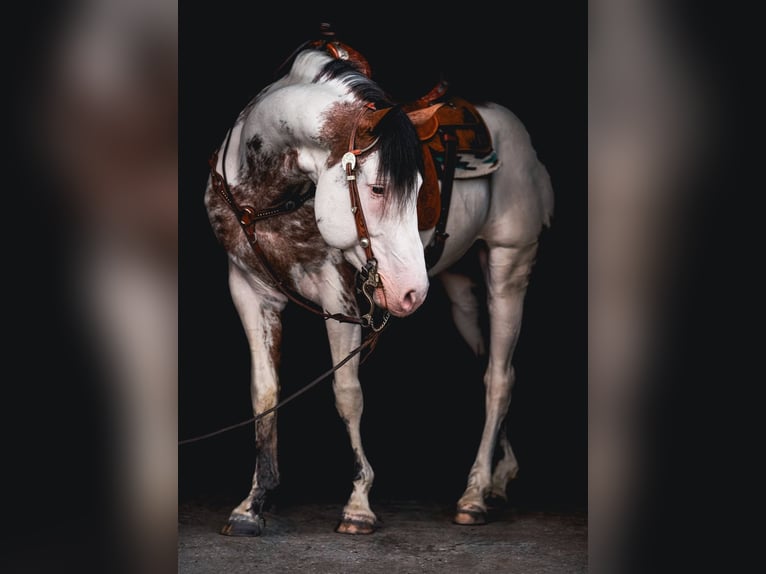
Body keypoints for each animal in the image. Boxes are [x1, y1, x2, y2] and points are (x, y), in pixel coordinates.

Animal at [203, 34, 554, 536]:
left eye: (420, 187)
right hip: (461, 288)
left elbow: (347, 393)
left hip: (509, 266)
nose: (411, 293)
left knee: (499, 378)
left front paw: (358, 503)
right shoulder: (248, 289)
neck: (267, 195)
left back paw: (473, 495)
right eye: (378, 189)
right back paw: (498, 479)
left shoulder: (338, 293)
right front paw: (253, 503)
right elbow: (264, 392)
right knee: (487, 361)